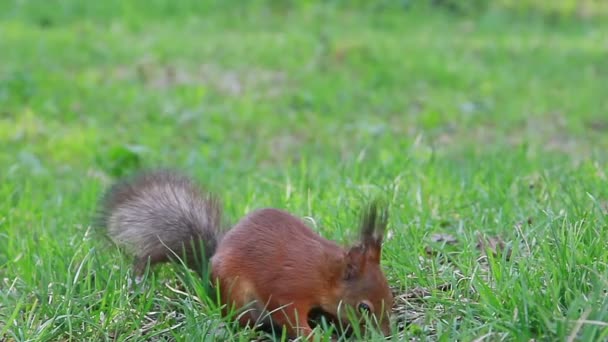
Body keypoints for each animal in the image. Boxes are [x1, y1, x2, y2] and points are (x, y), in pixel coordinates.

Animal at [98, 170, 394, 340]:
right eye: (364, 308)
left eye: (390, 297)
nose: (385, 335)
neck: (323, 272)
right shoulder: (287, 289)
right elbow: (289, 316)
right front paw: (315, 336)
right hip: (236, 295)